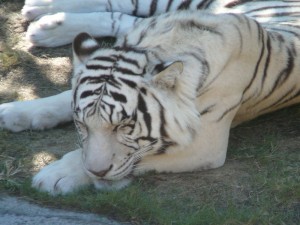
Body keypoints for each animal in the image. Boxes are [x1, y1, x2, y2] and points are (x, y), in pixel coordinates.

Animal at [0, 0, 300, 194]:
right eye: (82, 125)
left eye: (124, 126)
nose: (97, 173)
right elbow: (63, 99)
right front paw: (14, 113)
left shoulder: (206, 144)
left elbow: (140, 155)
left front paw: (56, 175)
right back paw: (45, 15)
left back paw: (45, 23)